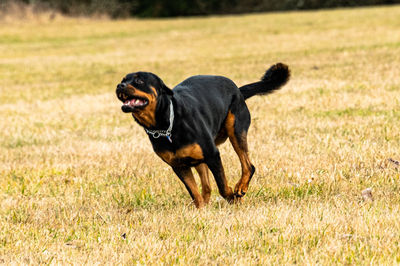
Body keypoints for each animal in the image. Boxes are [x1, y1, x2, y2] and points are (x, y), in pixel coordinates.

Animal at [116, 62, 290, 208]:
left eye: (139, 81)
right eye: (124, 79)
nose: (119, 85)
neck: (165, 124)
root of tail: (237, 89)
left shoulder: (213, 154)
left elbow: (222, 186)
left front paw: (233, 198)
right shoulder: (179, 166)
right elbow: (194, 192)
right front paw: (200, 210)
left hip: (235, 130)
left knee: (248, 165)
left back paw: (241, 188)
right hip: (200, 158)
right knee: (206, 187)